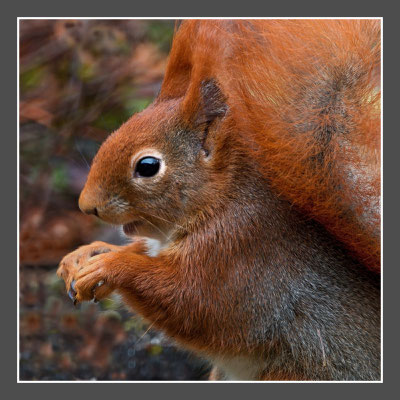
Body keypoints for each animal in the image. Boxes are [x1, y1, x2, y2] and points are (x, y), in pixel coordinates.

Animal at [57, 19, 382, 382]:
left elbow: (190, 302)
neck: (220, 200)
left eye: (148, 166)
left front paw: (110, 266)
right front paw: (87, 254)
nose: (87, 205)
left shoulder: (236, 252)